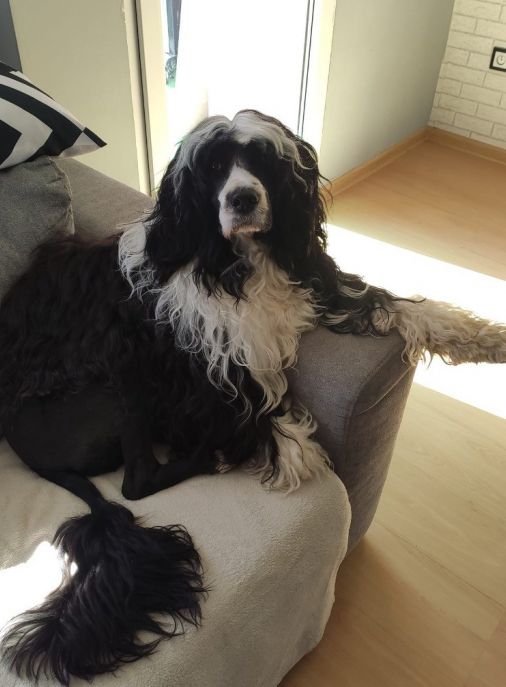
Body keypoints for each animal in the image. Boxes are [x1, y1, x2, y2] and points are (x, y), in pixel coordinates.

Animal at [0, 110, 504, 685]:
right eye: (214, 168)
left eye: (262, 162)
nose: (242, 199)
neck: (235, 261)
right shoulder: (191, 368)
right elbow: (257, 413)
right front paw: (294, 450)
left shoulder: (312, 281)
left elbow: (390, 305)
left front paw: (479, 335)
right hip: (120, 384)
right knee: (136, 481)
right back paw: (213, 458)